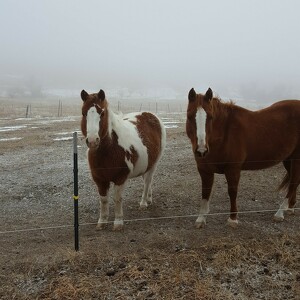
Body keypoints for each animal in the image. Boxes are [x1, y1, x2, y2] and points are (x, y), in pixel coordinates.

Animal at [81, 88, 166, 230]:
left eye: (102, 113)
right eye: (83, 113)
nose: (92, 141)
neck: (109, 149)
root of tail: (151, 115)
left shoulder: (120, 178)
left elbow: (117, 198)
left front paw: (118, 222)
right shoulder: (100, 180)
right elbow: (103, 200)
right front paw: (102, 221)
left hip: (154, 163)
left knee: (147, 181)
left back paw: (143, 202)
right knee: (147, 180)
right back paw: (149, 198)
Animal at [186, 88, 298, 229]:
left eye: (210, 117)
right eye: (189, 116)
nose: (201, 150)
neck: (224, 134)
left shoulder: (233, 169)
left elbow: (232, 192)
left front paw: (232, 219)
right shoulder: (204, 170)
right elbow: (205, 192)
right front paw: (201, 219)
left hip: (296, 159)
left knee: (293, 182)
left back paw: (280, 212)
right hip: (288, 160)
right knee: (295, 181)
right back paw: (290, 207)